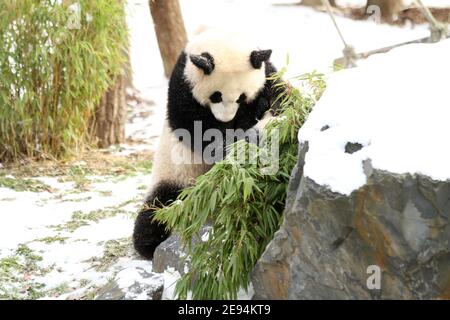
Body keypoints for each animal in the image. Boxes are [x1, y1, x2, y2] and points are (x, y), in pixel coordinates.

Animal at [132, 28, 284, 258]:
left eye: (241, 97)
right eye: (216, 96)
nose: (225, 118)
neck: (221, 39)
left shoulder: (267, 74)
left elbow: (280, 95)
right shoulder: (183, 85)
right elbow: (197, 129)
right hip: (174, 176)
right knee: (156, 212)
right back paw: (148, 243)